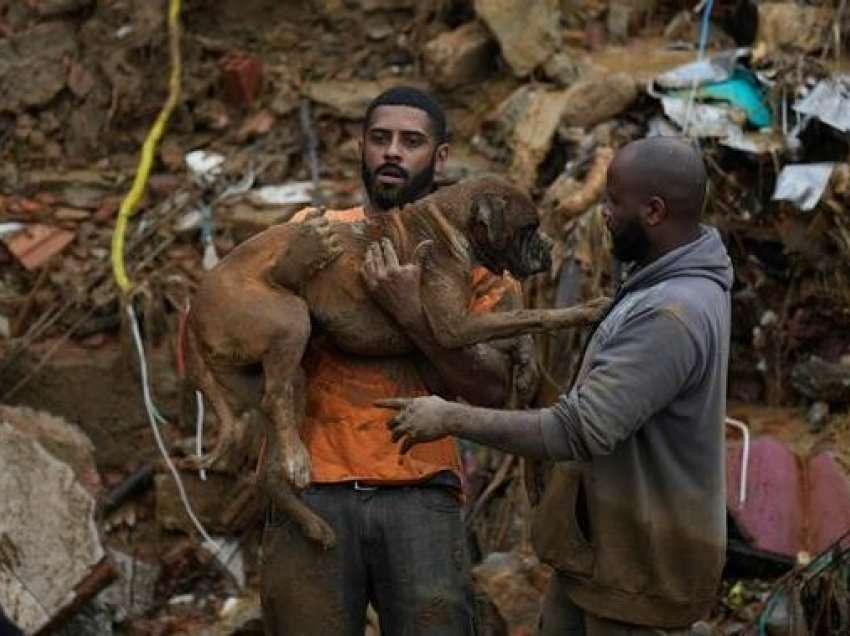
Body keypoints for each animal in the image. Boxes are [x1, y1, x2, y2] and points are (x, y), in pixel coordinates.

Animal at [182, 174, 608, 548]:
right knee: (274, 398)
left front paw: (527, 367)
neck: (448, 224)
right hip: (290, 318)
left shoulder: (455, 335)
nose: (549, 247)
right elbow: (530, 315)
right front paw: (583, 311)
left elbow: (517, 334)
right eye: (528, 228)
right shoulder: (455, 327)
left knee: (268, 464)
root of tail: (193, 309)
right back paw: (299, 464)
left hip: (284, 376)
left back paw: (311, 520)